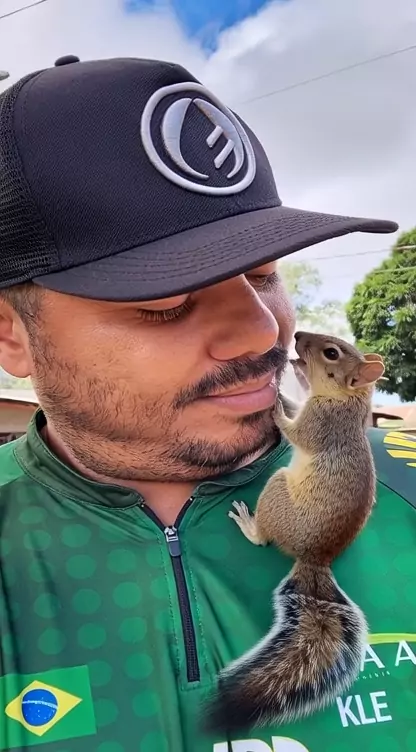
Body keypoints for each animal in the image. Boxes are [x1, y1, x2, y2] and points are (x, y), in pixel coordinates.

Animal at [206, 331, 385, 734]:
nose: (298, 336)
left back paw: (247, 522)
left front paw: (274, 405)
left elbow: (294, 432)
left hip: (275, 489)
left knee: (263, 537)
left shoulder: (320, 424)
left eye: (331, 352)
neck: (347, 399)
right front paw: (281, 395)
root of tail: (315, 558)